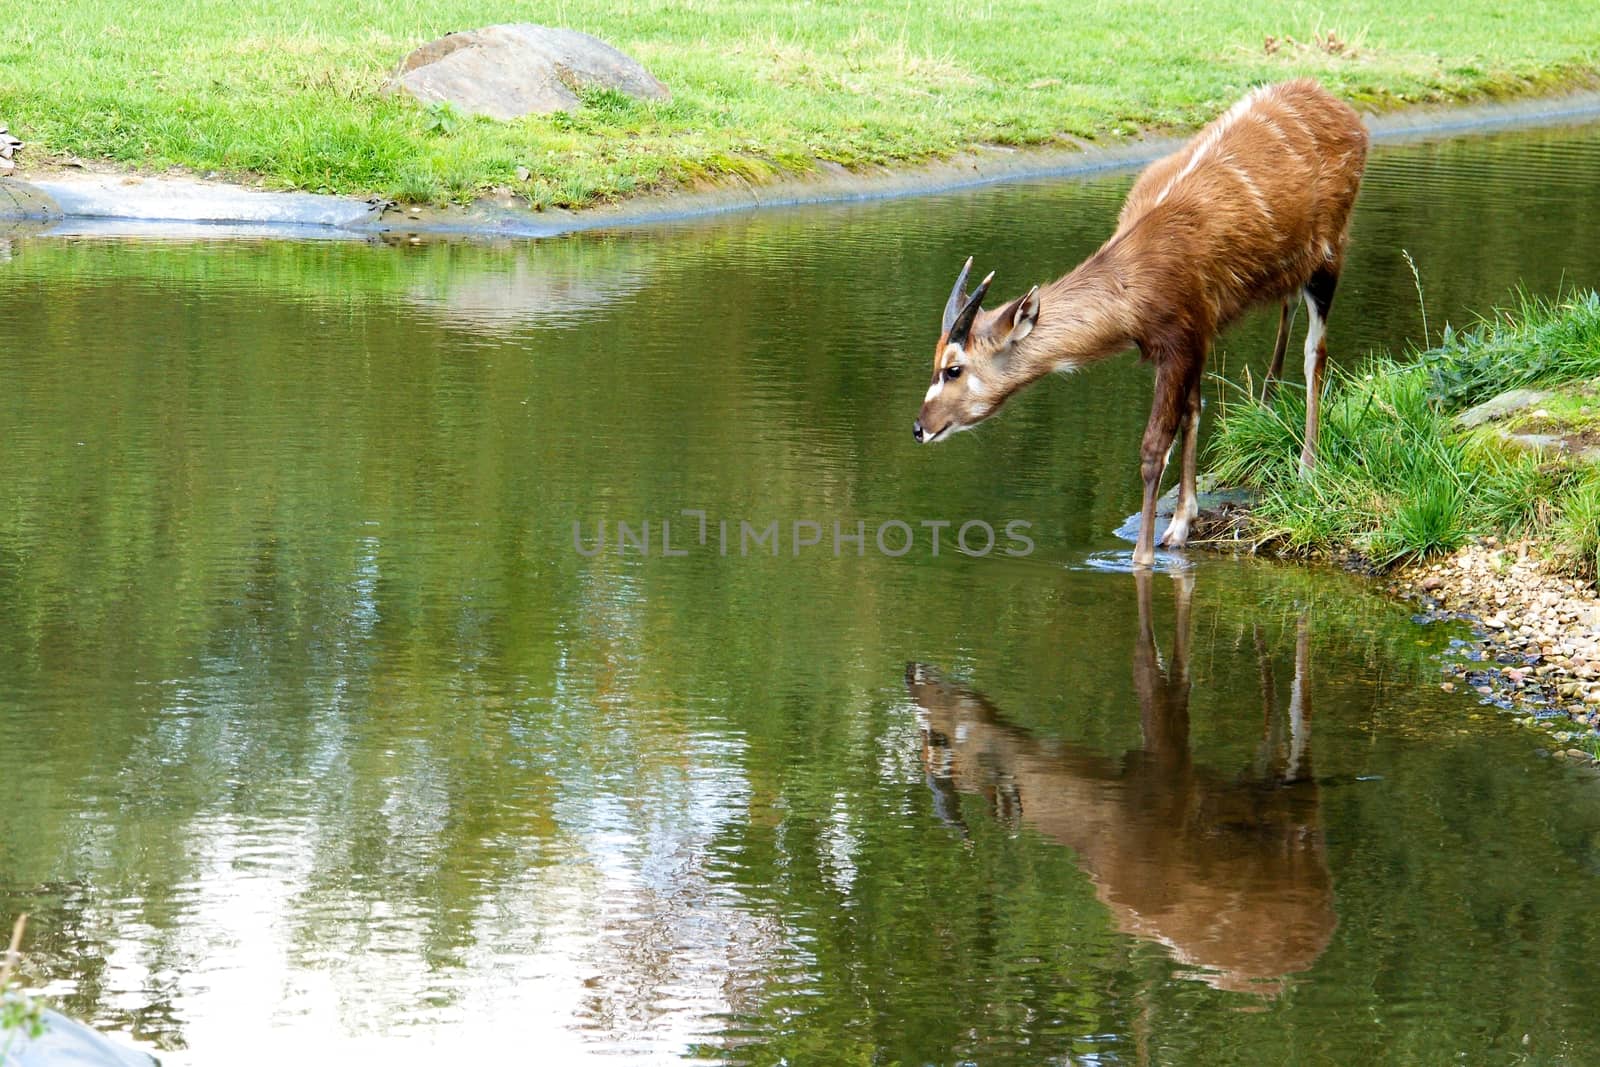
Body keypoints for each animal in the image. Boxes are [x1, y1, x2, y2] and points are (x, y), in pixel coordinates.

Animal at [908, 572, 1331, 998]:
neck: (1102, 814)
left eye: (939, 740)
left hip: (1301, 809)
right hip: (1258, 784)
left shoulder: (1169, 762)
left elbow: (1161, 666)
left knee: (1301, 719)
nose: (910, 672)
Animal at [921, 79, 1369, 566]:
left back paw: (1307, 470)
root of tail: (1349, 115)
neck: (1136, 288)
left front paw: (1143, 556)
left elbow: (1154, 447)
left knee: (1315, 354)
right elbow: (1193, 411)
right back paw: (1268, 408)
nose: (919, 427)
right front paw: (1180, 525)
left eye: (953, 368)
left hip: (1330, 254)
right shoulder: (1191, 336)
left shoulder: (1180, 338)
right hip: (1294, 272)